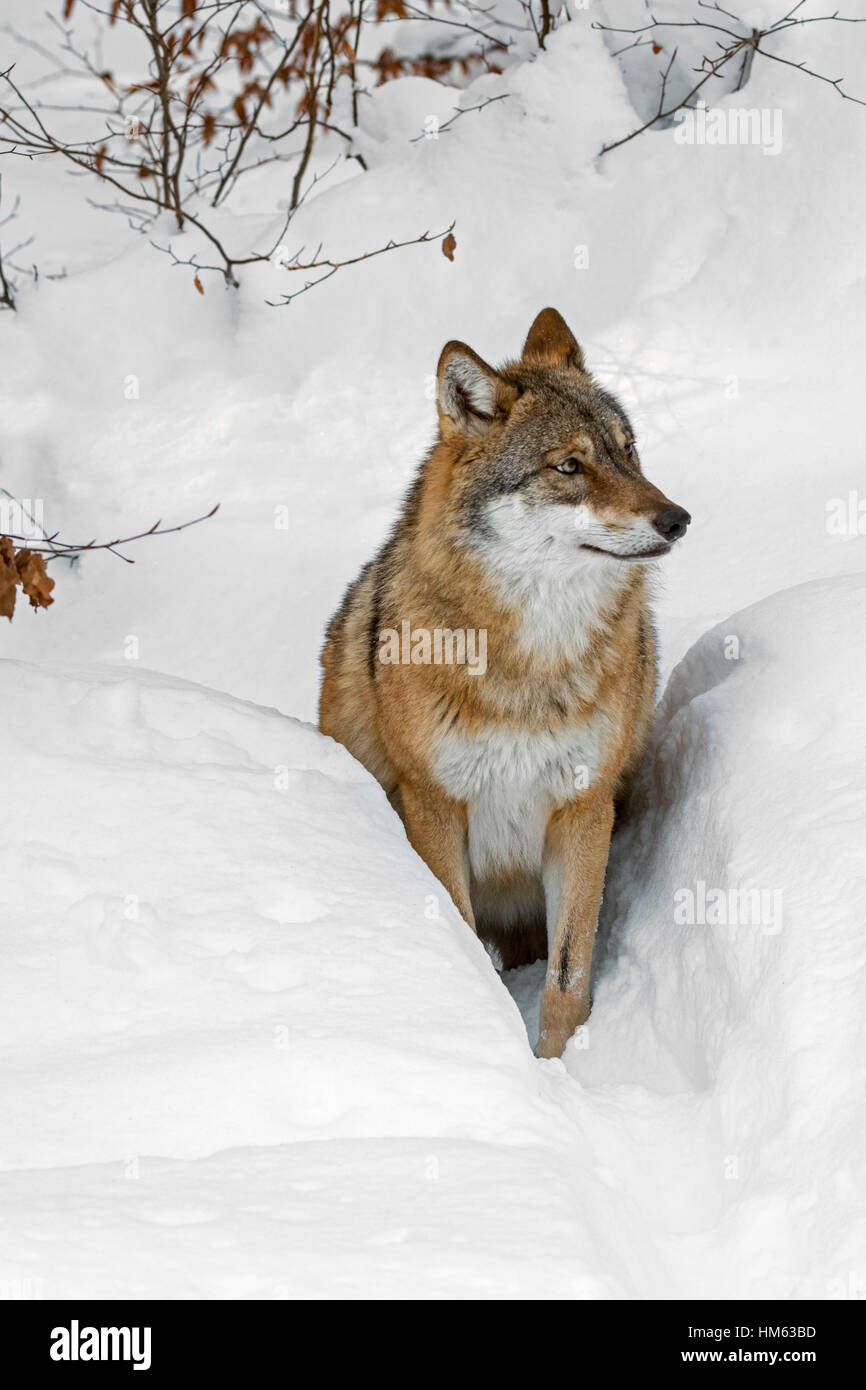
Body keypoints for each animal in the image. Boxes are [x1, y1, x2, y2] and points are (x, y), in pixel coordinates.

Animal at [319, 309, 690, 1057]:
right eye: (569, 466)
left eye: (629, 452)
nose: (678, 519)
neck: (533, 665)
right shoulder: (435, 804)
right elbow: (462, 937)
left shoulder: (583, 809)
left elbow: (567, 979)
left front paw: (555, 1065)